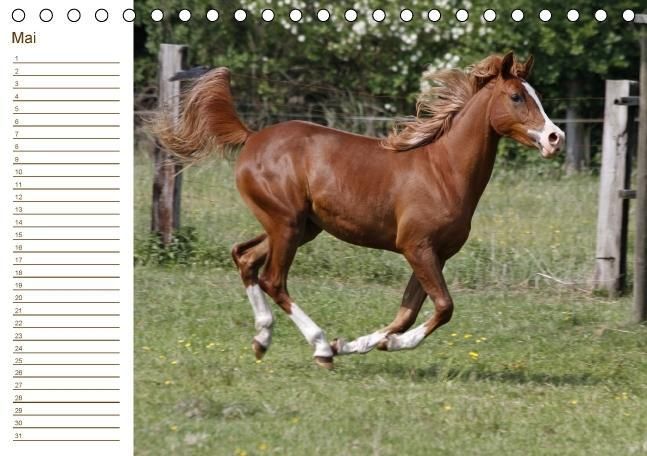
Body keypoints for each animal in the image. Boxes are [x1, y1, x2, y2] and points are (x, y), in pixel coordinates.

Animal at [155, 52, 565, 369]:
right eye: (516, 96)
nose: (554, 138)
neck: (443, 171)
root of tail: (252, 137)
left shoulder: (435, 254)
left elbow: (407, 313)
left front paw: (357, 344)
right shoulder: (417, 248)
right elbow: (443, 307)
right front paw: (376, 345)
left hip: (298, 227)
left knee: (244, 257)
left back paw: (263, 340)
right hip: (286, 225)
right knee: (273, 279)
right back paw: (319, 347)